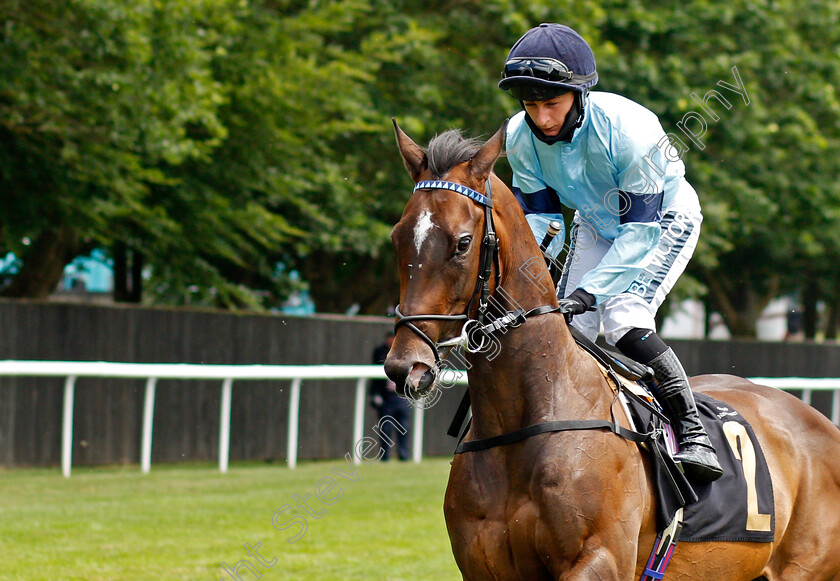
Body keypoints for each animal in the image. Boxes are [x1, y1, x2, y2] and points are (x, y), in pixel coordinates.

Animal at [384, 120, 840, 576]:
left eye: (462, 243)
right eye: (398, 236)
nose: (406, 366)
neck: (526, 418)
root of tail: (820, 421)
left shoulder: (600, 558)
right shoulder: (482, 566)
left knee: (627, 314)